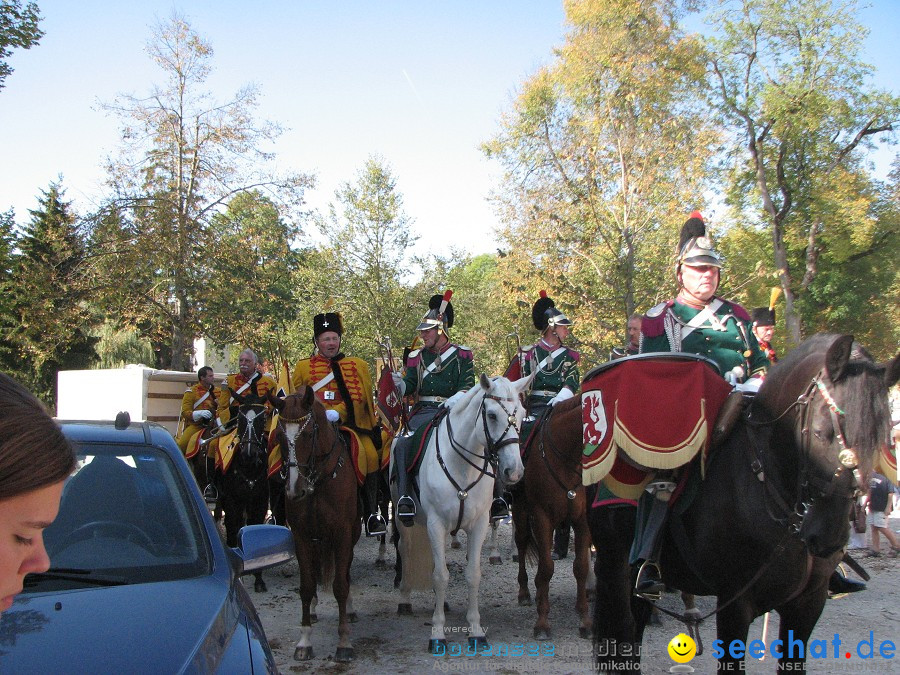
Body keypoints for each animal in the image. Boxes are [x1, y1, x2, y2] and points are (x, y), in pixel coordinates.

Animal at [270, 388, 362, 664]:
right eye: (279, 436)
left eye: (309, 434)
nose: (294, 490)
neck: (318, 482)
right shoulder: (301, 536)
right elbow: (307, 585)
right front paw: (304, 641)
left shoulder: (343, 534)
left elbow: (340, 585)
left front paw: (344, 642)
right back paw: (311, 609)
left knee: (345, 572)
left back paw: (349, 609)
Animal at [392, 374, 528, 656]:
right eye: (491, 415)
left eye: (521, 414)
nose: (514, 471)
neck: (462, 463)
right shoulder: (436, 524)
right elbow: (441, 576)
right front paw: (438, 634)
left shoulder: (479, 525)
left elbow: (472, 574)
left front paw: (475, 630)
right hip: (403, 521)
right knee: (405, 552)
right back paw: (405, 599)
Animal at [510, 398, 596, 640]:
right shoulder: (542, 517)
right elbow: (547, 568)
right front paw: (542, 623)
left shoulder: (582, 521)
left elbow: (580, 567)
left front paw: (585, 620)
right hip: (521, 512)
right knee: (522, 545)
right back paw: (525, 592)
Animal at [592, 336, 900, 672]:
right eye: (820, 432)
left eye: (880, 437)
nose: (828, 536)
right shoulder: (735, 602)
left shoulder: (807, 604)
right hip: (613, 562)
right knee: (621, 632)